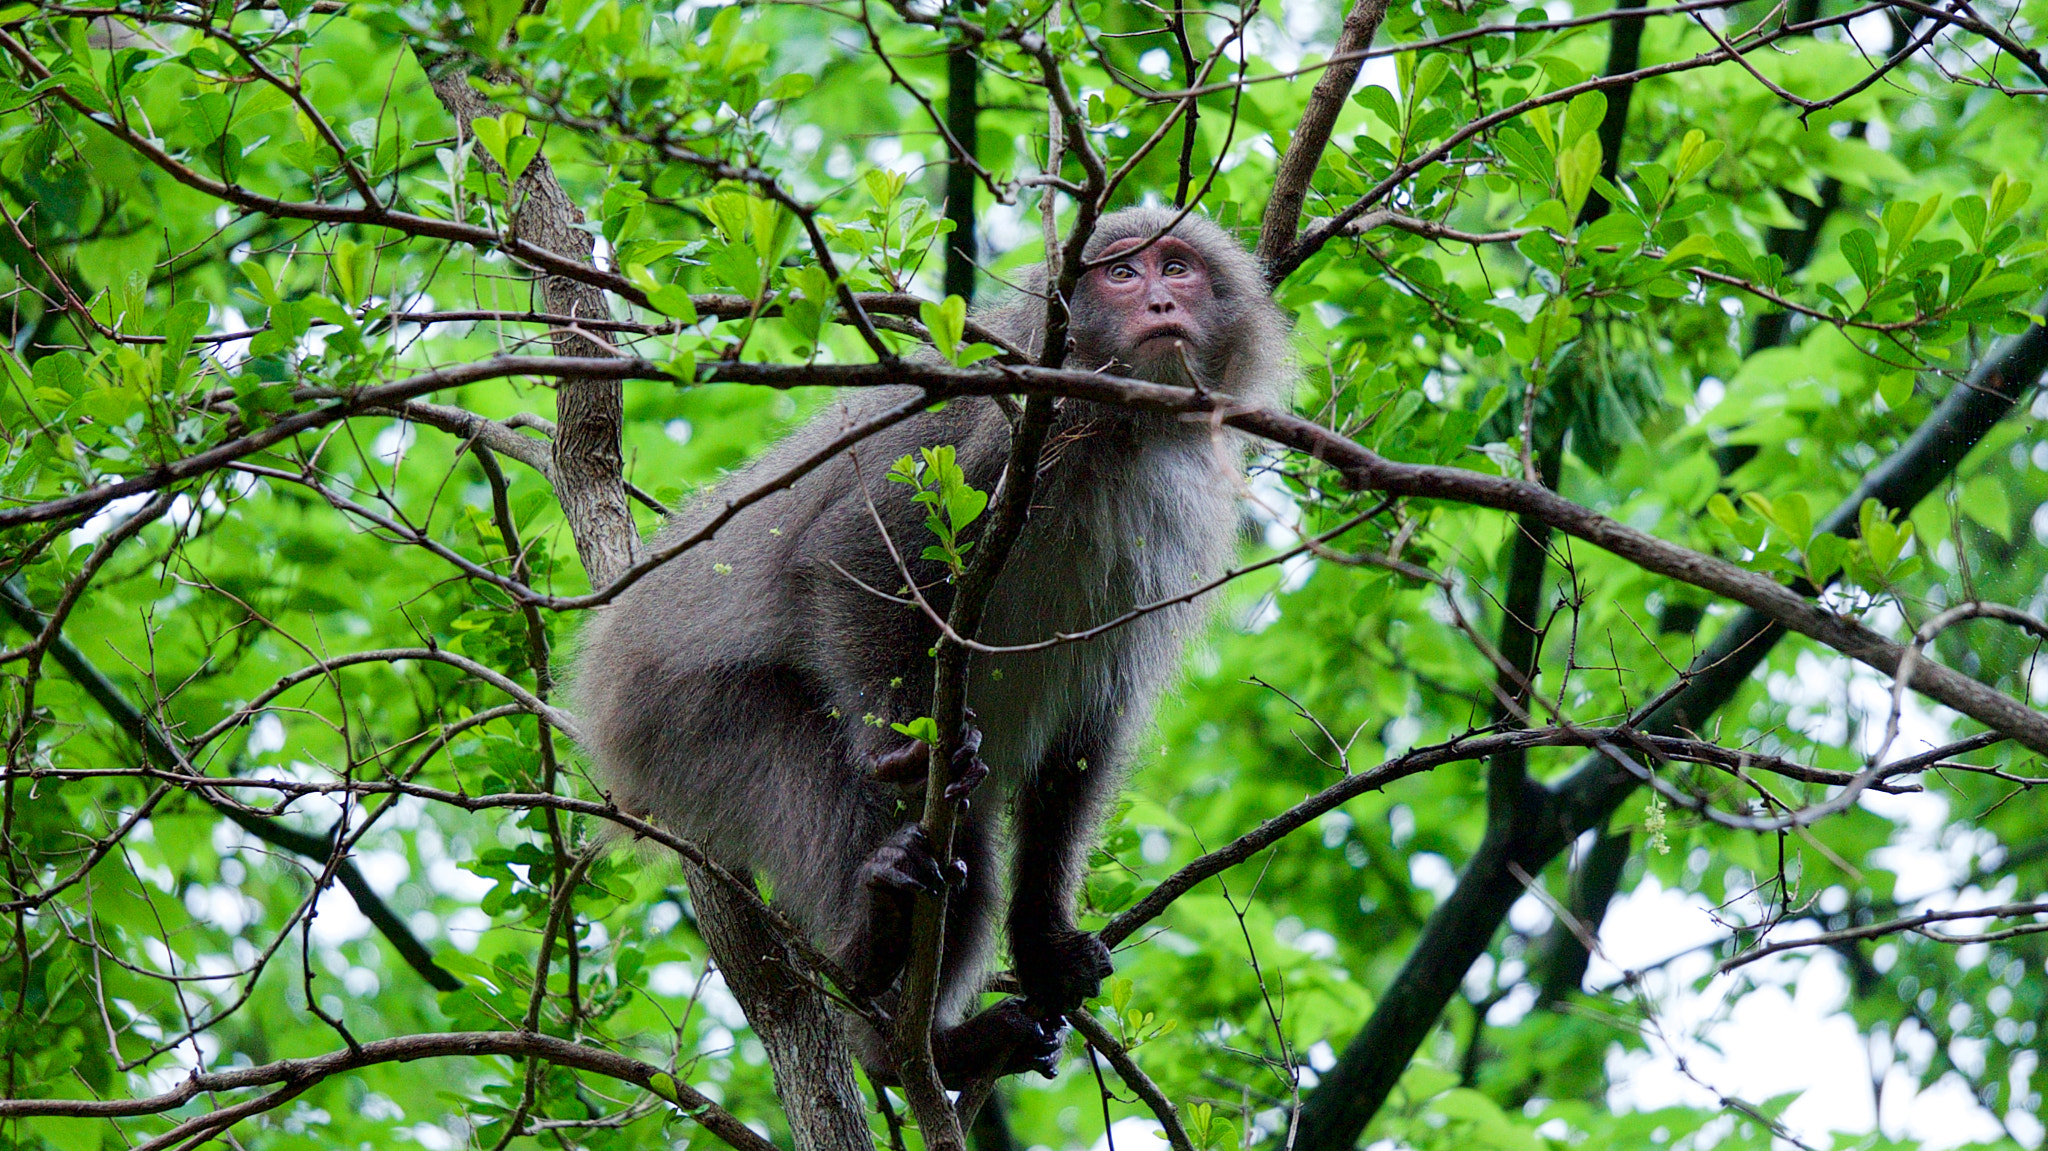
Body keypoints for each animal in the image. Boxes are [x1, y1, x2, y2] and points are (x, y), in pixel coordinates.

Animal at [570, 206, 1293, 1086]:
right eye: (1122, 273)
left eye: (1177, 267)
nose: (1159, 302)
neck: (1120, 431)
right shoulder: (1002, 428)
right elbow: (849, 550)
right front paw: (906, 756)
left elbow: (1087, 732)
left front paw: (1043, 943)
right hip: (688, 724)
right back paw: (875, 971)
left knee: (967, 863)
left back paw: (935, 1043)